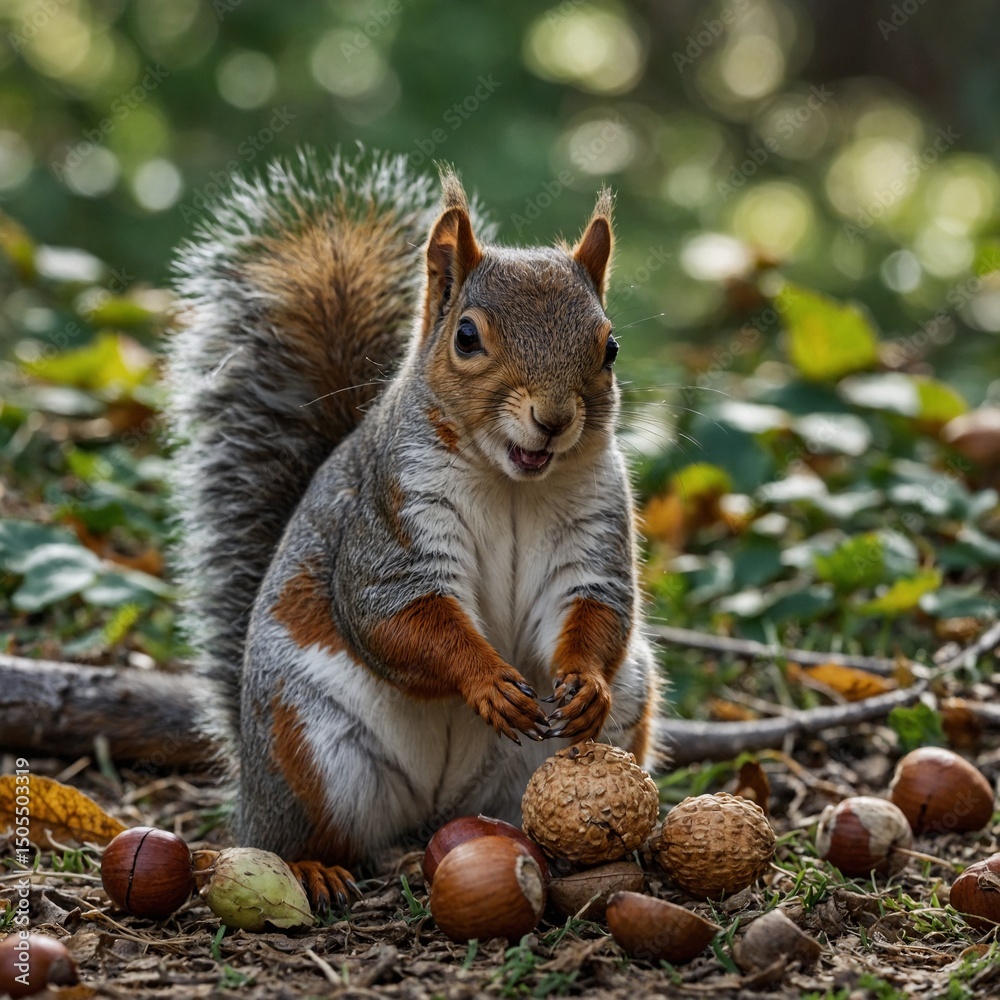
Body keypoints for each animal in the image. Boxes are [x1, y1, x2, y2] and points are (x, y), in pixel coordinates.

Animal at [167, 149, 659, 910]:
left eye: (609, 347)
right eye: (467, 337)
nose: (552, 418)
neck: (511, 484)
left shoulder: (595, 527)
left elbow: (597, 605)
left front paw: (584, 684)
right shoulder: (391, 519)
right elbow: (398, 617)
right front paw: (484, 678)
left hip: (592, 734)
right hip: (304, 743)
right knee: (296, 832)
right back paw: (311, 867)